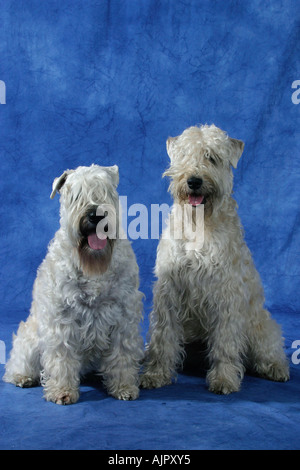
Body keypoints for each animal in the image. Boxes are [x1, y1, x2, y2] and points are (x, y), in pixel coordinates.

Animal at [3, 164, 144, 404]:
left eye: (105, 190)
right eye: (75, 195)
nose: (96, 214)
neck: (93, 266)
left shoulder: (124, 315)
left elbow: (122, 354)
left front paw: (123, 386)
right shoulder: (62, 318)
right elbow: (62, 357)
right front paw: (62, 390)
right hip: (30, 339)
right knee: (18, 362)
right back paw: (23, 376)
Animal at [142, 124, 290, 392]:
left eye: (212, 157)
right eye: (185, 155)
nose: (194, 181)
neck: (198, 224)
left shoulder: (226, 293)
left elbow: (225, 342)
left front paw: (223, 378)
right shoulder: (169, 290)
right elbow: (163, 336)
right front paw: (156, 373)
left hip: (261, 327)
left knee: (269, 348)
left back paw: (276, 368)